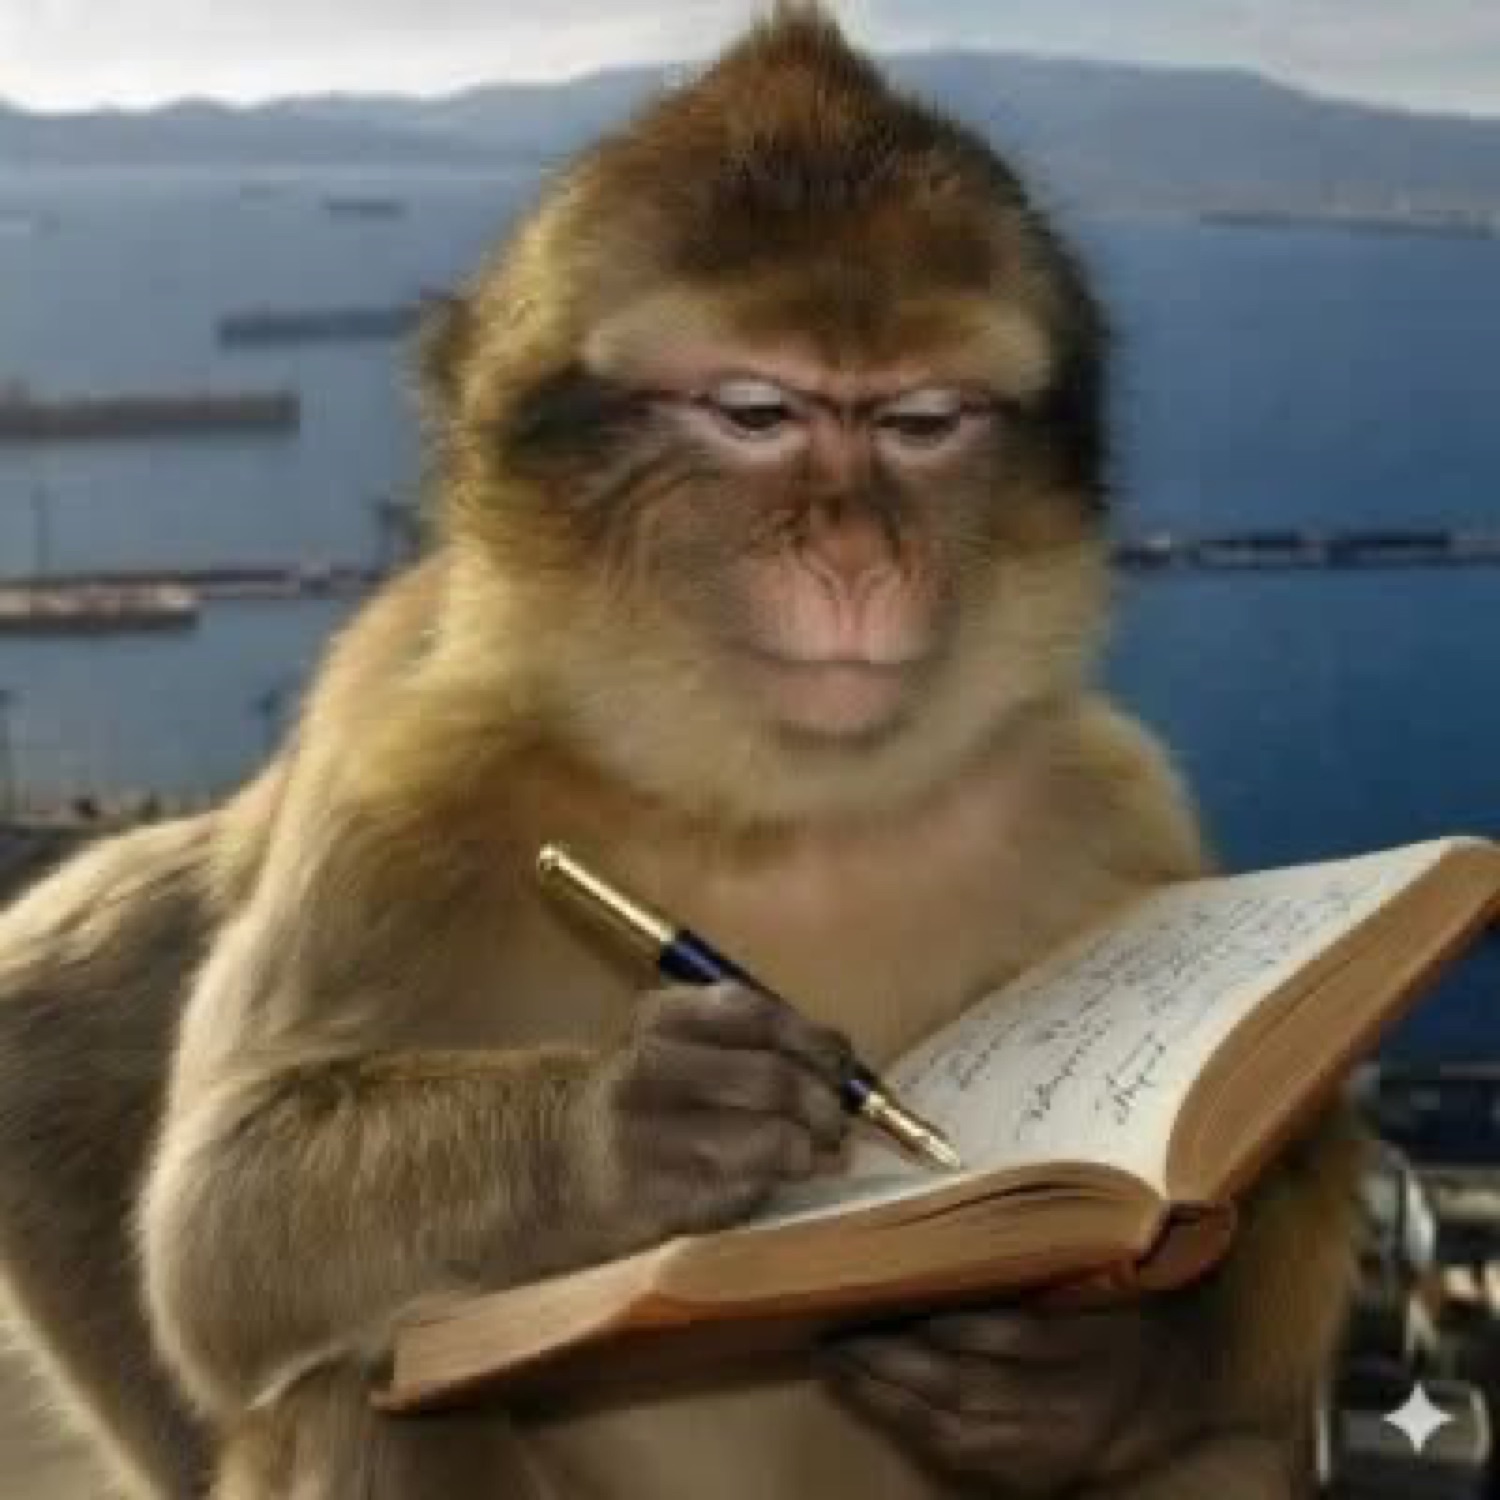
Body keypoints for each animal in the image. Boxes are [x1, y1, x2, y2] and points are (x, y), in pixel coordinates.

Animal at [0, 8, 1366, 1498]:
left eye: (921, 422)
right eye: (757, 413)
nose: (856, 551)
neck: (781, 817)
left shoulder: (1111, 802)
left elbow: (1290, 1178)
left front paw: (1103, 1366)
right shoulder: (402, 787)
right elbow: (217, 1224)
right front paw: (644, 1116)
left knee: (1227, 1443)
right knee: (372, 1388)